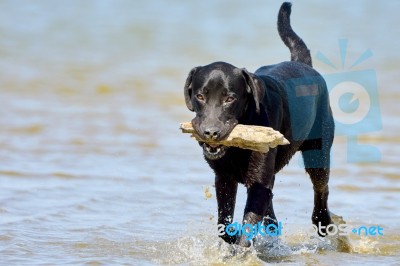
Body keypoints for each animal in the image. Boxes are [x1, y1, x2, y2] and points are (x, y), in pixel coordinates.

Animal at [184, 2, 334, 247]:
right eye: (200, 96)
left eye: (230, 98)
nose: (211, 132)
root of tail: (302, 63)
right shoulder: (224, 178)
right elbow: (224, 221)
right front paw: (231, 237)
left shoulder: (257, 178)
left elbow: (249, 222)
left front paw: (241, 247)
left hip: (318, 153)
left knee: (322, 189)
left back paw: (324, 223)